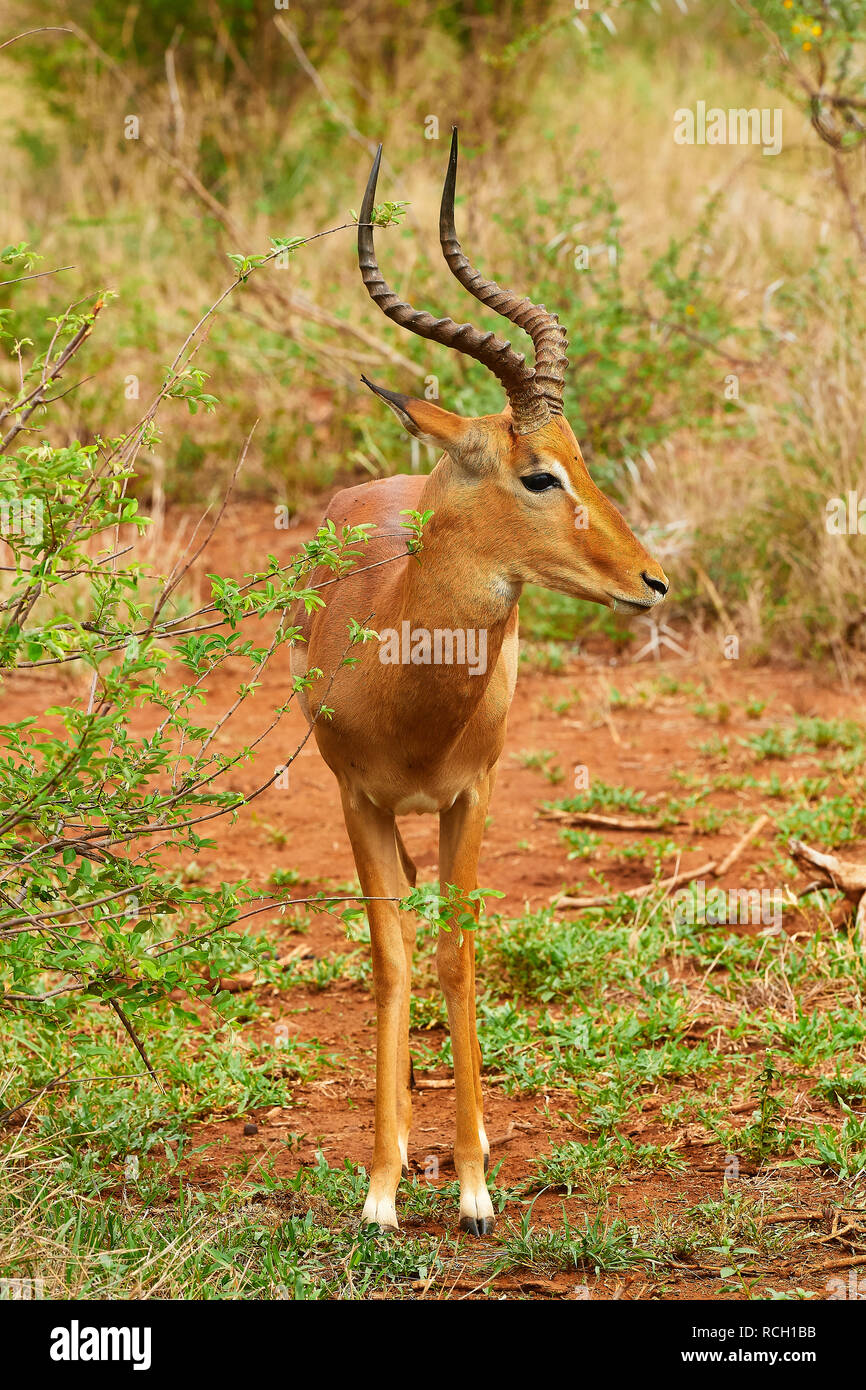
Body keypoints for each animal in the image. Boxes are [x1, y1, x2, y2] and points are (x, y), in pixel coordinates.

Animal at [291, 131, 669, 1235]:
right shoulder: (358, 799)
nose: (651, 579)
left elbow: (457, 954)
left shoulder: (473, 792)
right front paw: (379, 1192)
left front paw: (471, 1187)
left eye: (582, 455)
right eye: (538, 473)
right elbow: (389, 959)